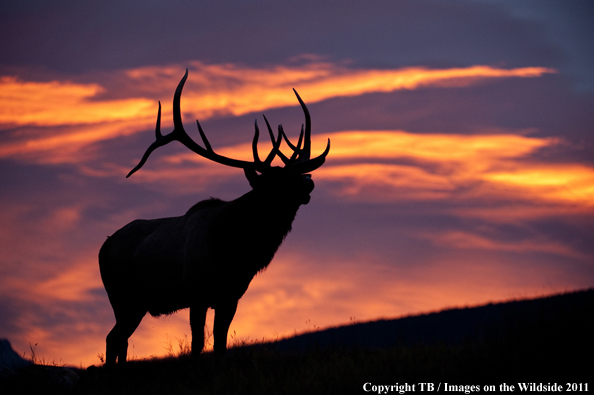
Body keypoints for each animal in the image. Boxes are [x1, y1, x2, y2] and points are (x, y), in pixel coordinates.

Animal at [97, 70, 328, 366]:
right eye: (274, 181)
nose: (308, 182)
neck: (237, 252)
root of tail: (103, 246)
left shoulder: (231, 295)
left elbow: (220, 343)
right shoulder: (196, 293)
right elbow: (197, 344)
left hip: (135, 304)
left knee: (119, 338)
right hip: (122, 296)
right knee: (113, 337)